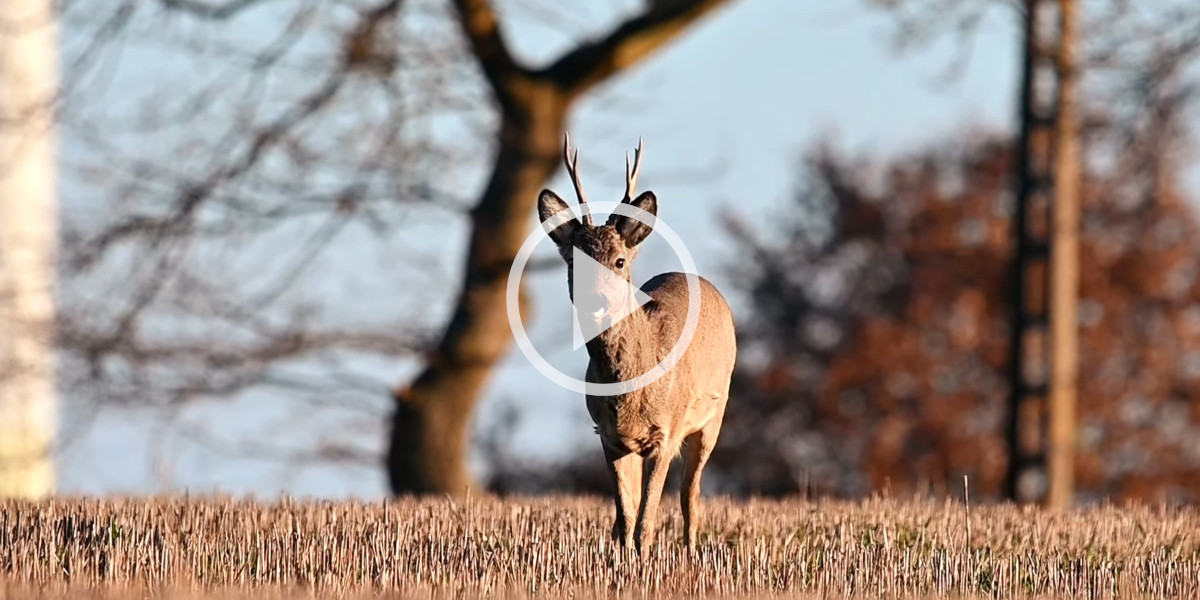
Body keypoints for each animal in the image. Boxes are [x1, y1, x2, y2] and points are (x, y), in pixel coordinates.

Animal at [540, 133, 734, 549]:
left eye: (618, 261)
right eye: (574, 261)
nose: (596, 299)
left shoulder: (666, 433)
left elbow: (646, 520)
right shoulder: (608, 435)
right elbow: (625, 517)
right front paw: (621, 558)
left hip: (714, 415)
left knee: (690, 494)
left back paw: (692, 549)